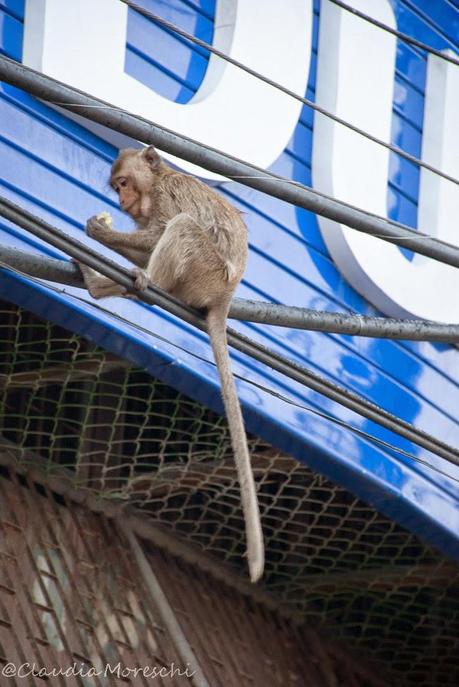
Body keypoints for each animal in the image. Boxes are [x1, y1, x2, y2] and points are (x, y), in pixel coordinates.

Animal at [80, 148, 266, 584]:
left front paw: (99, 231)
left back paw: (139, 282)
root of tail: (225, 299)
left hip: (205, 274)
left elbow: (163, 227)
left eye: (124, 183)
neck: (157, 182)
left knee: (182, 229)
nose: (122, 201)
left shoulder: (169, 196)